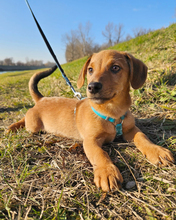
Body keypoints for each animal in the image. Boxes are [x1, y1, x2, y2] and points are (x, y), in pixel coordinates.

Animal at [7, 50, 174, 192]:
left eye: (115, 68)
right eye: (90, 70)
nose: (92, 87)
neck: (112, 113)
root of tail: (41, 99)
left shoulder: (131, 129)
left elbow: (143, 137)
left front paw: (156, 151)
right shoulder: (90, 140)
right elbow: (100, 154)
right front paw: (107, 172)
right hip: (34, 126)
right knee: (25, 118)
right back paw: (12, 127)